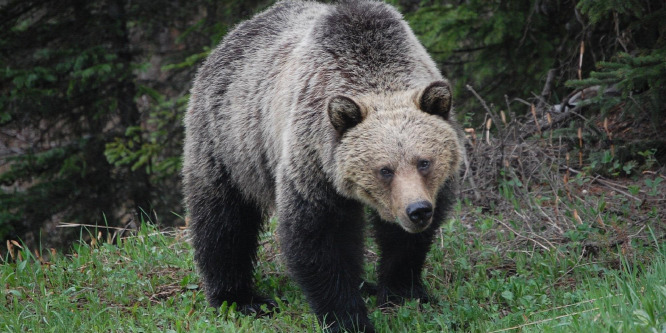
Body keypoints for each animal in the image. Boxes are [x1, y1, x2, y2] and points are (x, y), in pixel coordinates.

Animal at [182, 1, 462, 330]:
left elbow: (404, 242)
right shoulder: (313, 162)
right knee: (224, 220)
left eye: (424, 162)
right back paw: (240, 299)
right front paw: (348, 318)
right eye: (385, 169)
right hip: (229, 142)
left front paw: (403, 292)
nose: (417, 210)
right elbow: (320, 238)